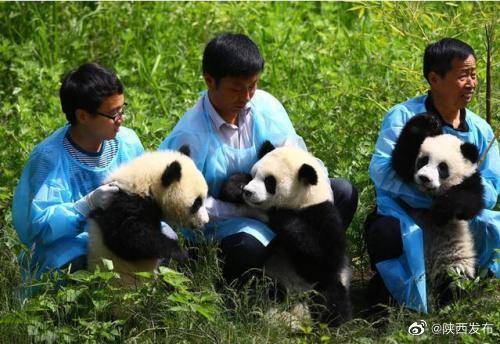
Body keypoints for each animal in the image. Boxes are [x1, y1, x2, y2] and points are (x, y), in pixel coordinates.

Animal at [219, 142, 352, 326]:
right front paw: (235, 187)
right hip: (270, 274)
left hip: (316, 286)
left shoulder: (323, 214)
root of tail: (296, 304)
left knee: (330, 298)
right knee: (254, 288)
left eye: (269, 182)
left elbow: (325, 258)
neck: (302, 201)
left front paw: (280, 216)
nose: (248, 192)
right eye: (254, 174)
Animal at [390, 114, 484, 306]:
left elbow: (469, 203)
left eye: (442, 167)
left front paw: (442, 209)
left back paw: (449, 303)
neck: (430, 193)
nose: (424, 178)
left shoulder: (471, 181)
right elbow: (400, 158)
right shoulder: (407, 170)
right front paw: (428, 122)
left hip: (455, 259)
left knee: (455, 283)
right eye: (423, 161)